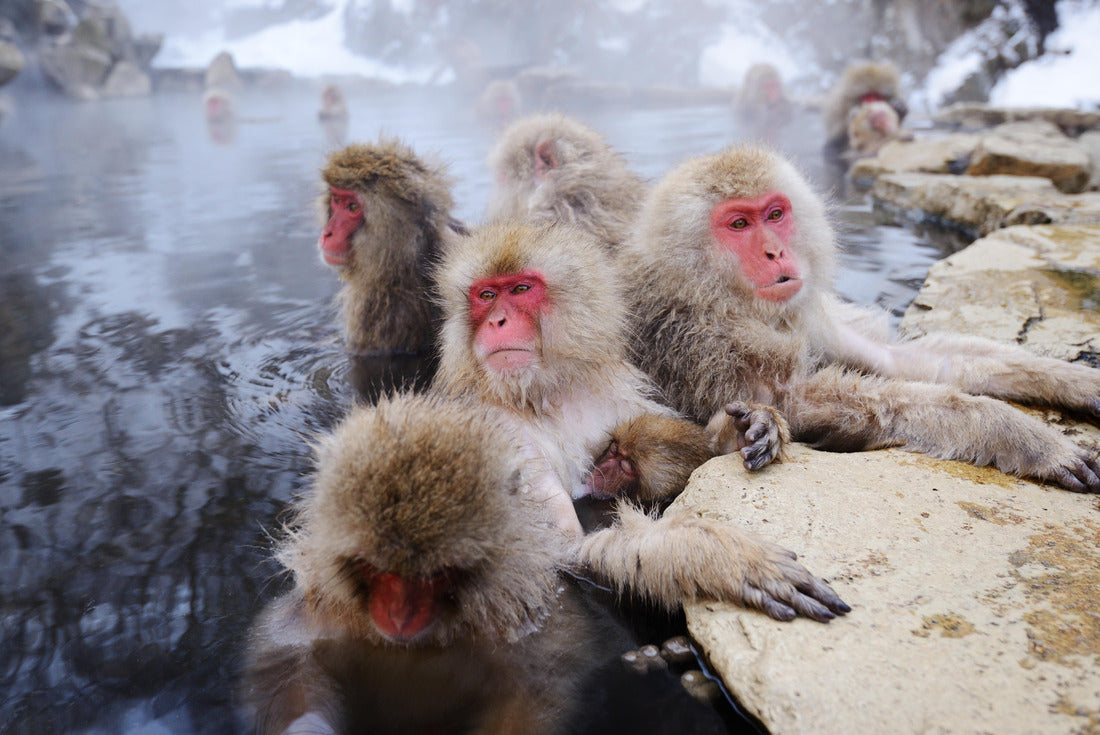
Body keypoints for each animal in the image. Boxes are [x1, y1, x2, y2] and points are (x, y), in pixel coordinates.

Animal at [241, 392, 594, 734]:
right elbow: (285, 659)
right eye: (376, 569)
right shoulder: (326, 614)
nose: (399, 618)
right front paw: (307, 727)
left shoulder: (524, 623)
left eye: (436, 574)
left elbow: (536, 688)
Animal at [432, 221, 851, 622]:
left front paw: (749, 426)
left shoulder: (617, 395)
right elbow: (561, 551)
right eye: (486, 296)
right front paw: (711, 555)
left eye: (520, 289)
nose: (498, 321)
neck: (545, 394)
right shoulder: (499, 431)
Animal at [622, 143, 1100, 493]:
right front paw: (1022, 435)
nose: (775, 252)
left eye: (775, 214)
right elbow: (800, 402)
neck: (711, 294)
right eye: (739, 224)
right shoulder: (698, 339)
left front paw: (1077, 381)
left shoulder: (807, 316)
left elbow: (896, 357)